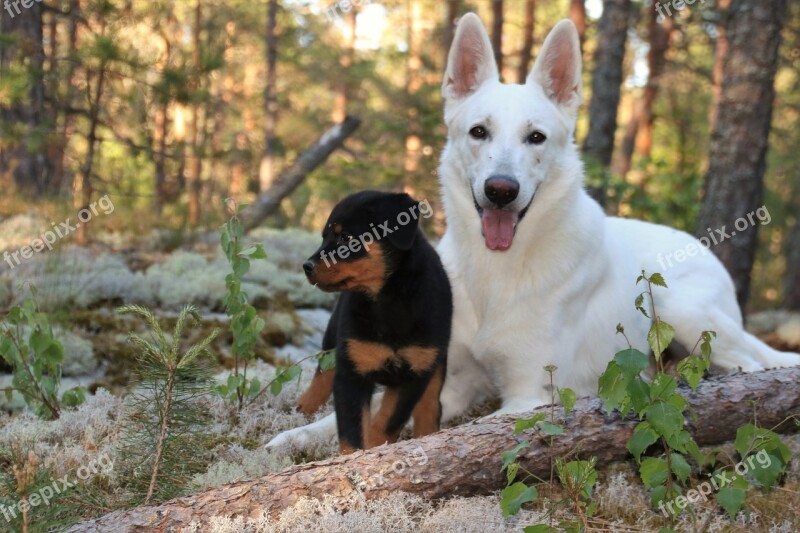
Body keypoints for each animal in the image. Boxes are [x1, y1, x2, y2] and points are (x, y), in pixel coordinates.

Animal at [296, 189, 454, 450]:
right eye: (323, 237)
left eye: (346, 237)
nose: (306, 266)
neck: (388, 298)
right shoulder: (352, 372)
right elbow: (352, 430)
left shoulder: (414, 373)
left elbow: (388, 421)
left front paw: (378, 448)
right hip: (333, 334)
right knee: (322, 372)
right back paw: (304, 407)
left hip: (436, 357)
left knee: (430, 403)